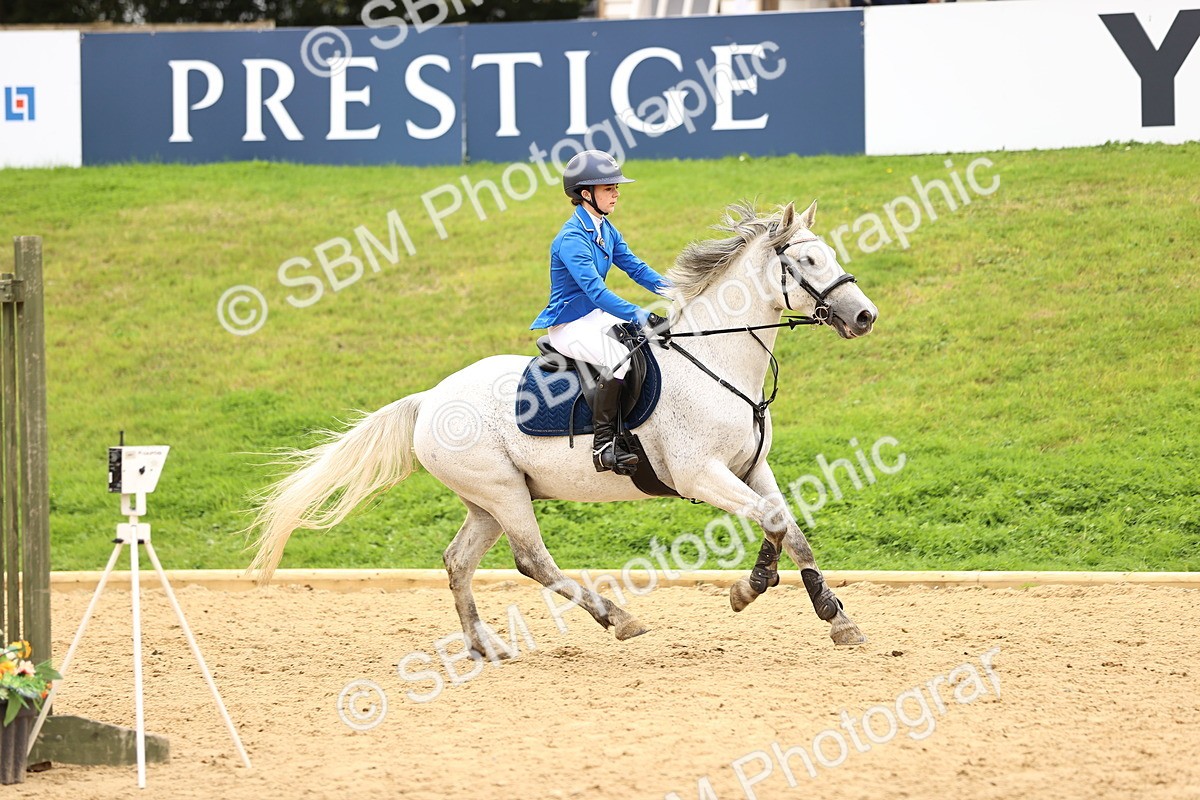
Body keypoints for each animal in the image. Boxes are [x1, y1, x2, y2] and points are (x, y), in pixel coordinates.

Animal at [248, 200, 879, 654]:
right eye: (808, 262)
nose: (865, 315)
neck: (715, 360)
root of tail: (430, 400)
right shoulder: (700, 474)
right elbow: (773, 523)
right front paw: (749, 590)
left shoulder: (752, 468)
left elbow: (790, 528)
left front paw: (834, 618)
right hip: (503, 492)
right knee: (533, 562)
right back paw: (618, 618)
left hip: (488, 500)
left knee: (458, 561)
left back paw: (486, 645)